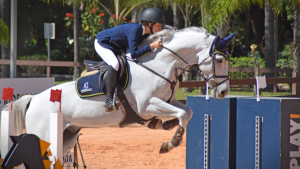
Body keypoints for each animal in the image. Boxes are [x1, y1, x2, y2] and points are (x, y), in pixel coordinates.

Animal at [1, 26, 234, 156]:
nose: (223, 92)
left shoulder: (166, 100)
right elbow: (182, 114)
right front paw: (172, 141)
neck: (160, 64)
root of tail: (33, 100)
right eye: (219, 60)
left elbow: (188, 111)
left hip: (66, 136)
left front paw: (163, 127)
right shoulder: (146, 106)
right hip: (44, 135)